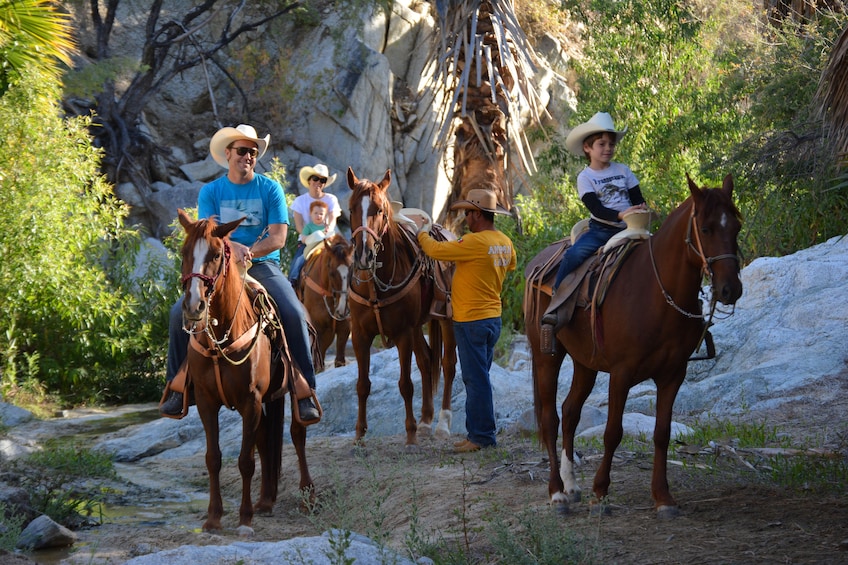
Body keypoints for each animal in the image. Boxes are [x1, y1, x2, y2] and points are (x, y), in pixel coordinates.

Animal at [177, 209, 314, 532]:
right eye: (184, 252)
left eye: (216, 254)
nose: (193, 306)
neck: (221, 337)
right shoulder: (207, 401)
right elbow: (213, 458)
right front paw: (214, 517)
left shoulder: (250, 400)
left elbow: (245, 461)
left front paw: (244, 516)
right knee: (265, 439)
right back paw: (265, 501)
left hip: (290, 393)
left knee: (297, 434)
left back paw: (306, 496)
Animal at [296, 231, 352, 368]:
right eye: (332, 273)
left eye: (351, 269)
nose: (342, 309)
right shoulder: (318, 331)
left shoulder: (344, 328)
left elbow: (339, 361)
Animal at [344, 165, 458, 448]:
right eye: (351, 208)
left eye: (380, 210)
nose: (364, 255)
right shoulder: (360, 335)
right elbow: (362, 385)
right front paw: (360, 434)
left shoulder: (403, 333)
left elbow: (406, 384)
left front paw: (410, 434)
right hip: (418, 326)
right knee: (427, 360)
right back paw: (426, 421)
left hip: (446, 319)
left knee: (448, 363)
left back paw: (442, 423)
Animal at [524, 174, 744, 516]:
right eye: (706, 229)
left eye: (736, 228)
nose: (730, 289)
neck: (655, 293)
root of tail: (537, 261)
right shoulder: (622, 372)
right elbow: (613, 432)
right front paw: (601, 491)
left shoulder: (673, 374)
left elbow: (662, 433)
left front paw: (663, 497)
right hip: (547, 356)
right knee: (550, 419)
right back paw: (557, 493)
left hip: (585, 363)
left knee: (570, 412)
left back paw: (572, 486)